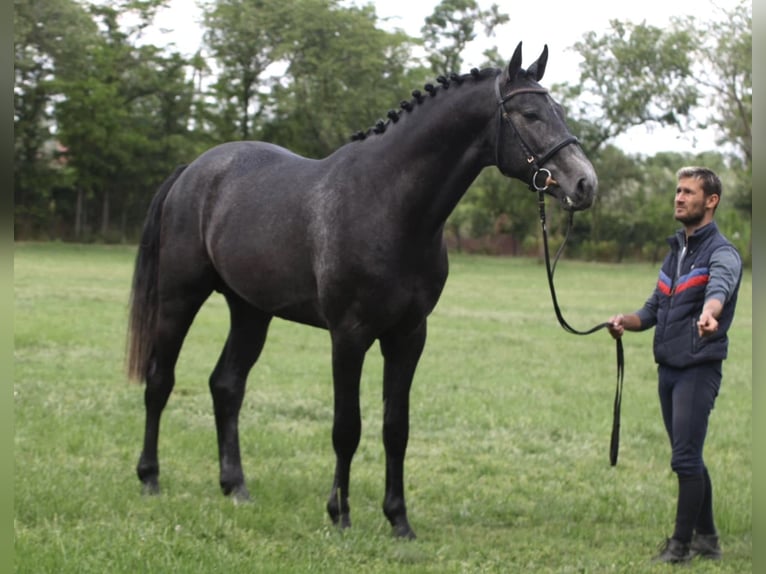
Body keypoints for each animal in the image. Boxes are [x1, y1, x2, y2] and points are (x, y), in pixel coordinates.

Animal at [126, 41, 597, 540]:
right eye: (530, 114)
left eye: (559, 110)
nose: (585, 184)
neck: (387, 204)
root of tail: (191, 172)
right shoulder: (348, 336)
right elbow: (346, 427)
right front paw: (340, 514)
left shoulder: (408, 336)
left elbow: (396, 428)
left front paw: (399, 520)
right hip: (179, 299)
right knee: (160, 381)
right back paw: (150, 479)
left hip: (251, 310)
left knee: (226, 386)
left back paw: (235, 487)